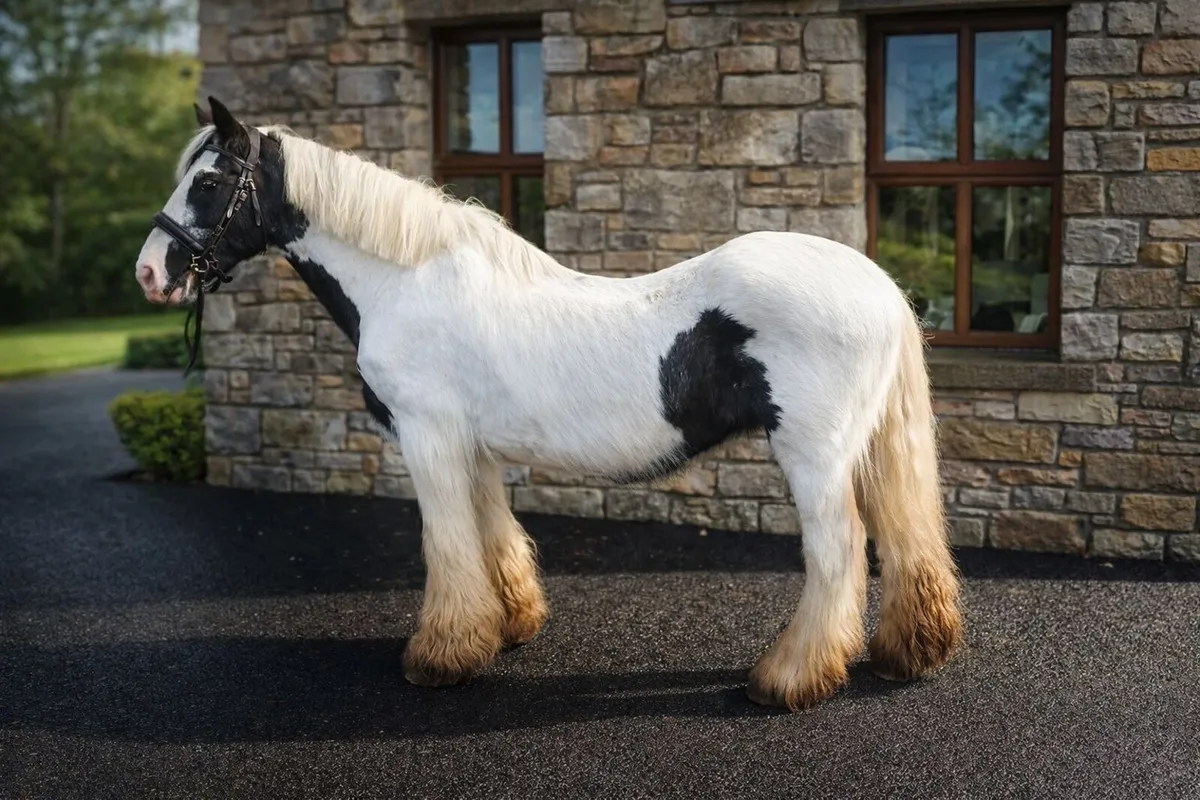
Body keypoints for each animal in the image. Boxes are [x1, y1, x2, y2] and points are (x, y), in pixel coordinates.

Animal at [135, 96, 963, 711]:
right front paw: (508, 627)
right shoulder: (469, 446)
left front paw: (440, 656)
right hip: (866, 447)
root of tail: (878, 284)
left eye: (208, 184)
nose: (151, 273)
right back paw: (907, 653)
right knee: (904, 541)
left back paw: (789, 679)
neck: (407, 278)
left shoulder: (427, 437)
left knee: (839, 551)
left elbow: (446, 544)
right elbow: (492, 535)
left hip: (813, 455)